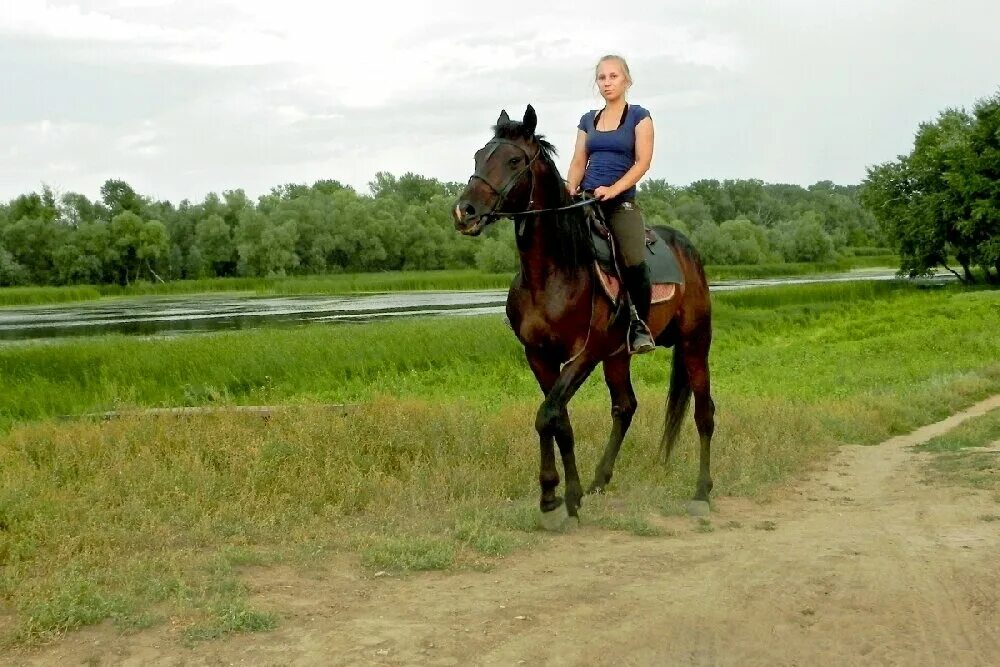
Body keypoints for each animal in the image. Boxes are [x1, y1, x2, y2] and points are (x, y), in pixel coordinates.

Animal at [454, 104, 720, 528]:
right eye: (479, 156)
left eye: (513, 160)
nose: (464, 211)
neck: (554, 273)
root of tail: (686, 246)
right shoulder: (540, 356)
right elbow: (558, 420)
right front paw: (567, 495)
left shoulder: (585, 354)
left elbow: (546, 415)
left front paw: (554, 499)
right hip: (619, 355)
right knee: (625, 407)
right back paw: (599, 481)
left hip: (695, 342)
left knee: (703, 412)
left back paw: (701, 493)